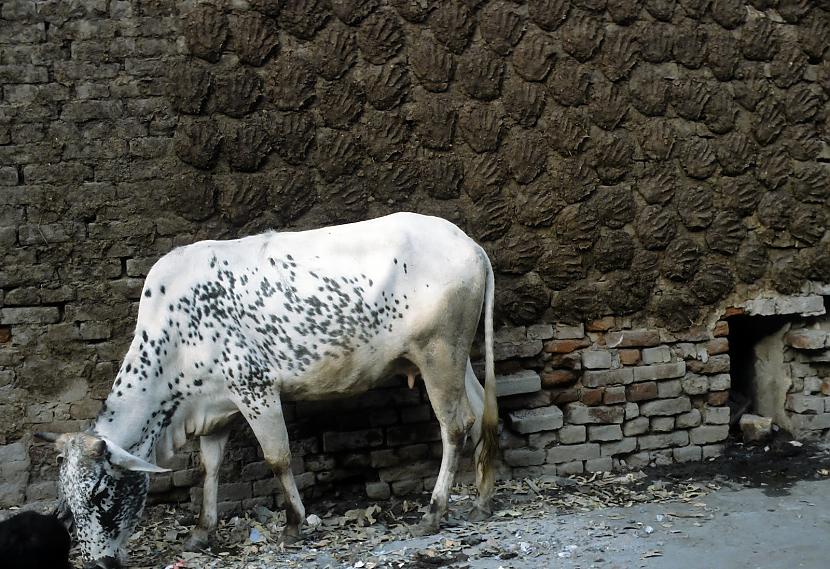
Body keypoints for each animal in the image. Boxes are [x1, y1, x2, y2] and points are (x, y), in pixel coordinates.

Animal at [37, 213, 494, 568]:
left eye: (100, 493)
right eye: (67, 503)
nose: (98, 563)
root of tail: (468, 243)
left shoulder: (255, 389)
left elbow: (278, 458)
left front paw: (294, 523)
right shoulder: (215, 409)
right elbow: (209, 469)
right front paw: (201, 532)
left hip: (437, 354)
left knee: (455, 426)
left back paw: (435, 511)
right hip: (457, 358)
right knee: (480, 416)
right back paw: (480, 501)